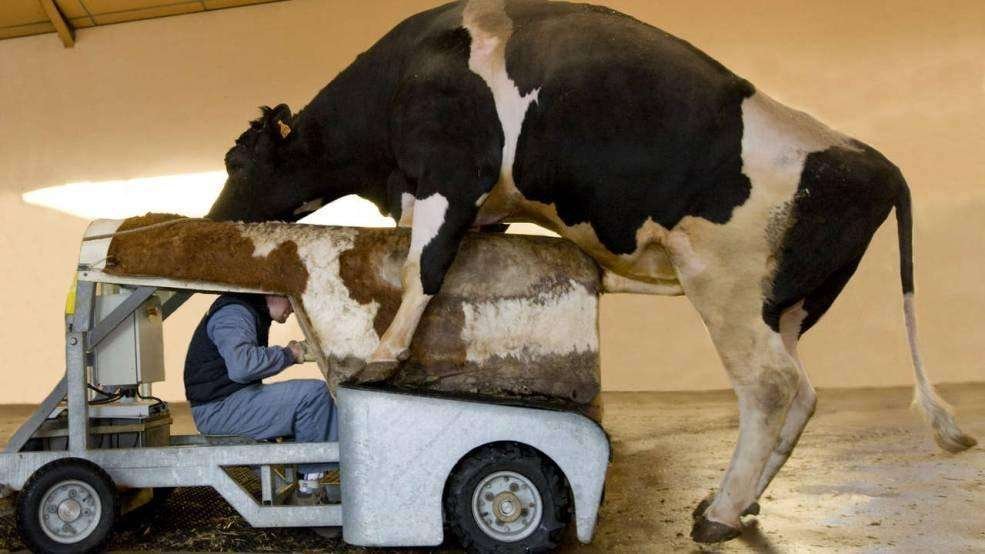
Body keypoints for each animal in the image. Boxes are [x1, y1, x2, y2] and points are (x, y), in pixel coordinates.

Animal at [206, 0, 976, 543]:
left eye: (238, 160)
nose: (213, 219)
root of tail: (868, 157)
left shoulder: (448, 176)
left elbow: (425, 268)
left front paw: (383, 359)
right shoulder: (482, 207)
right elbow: (463, 276)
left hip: (725, 290)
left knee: (768, 387)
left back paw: (718, 516)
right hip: (785, 305)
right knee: (805, 393)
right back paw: (741, 501)